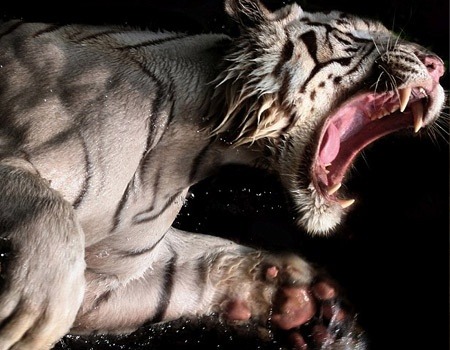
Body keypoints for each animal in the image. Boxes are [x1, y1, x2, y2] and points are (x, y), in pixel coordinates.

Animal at [0, 0, 444, 350]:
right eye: (358, 32)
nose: (438, 67)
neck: (189, 151)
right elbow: (47, 205)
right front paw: (34, 312)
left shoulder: (105, 282)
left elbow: (186, 271)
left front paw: (304, 304)